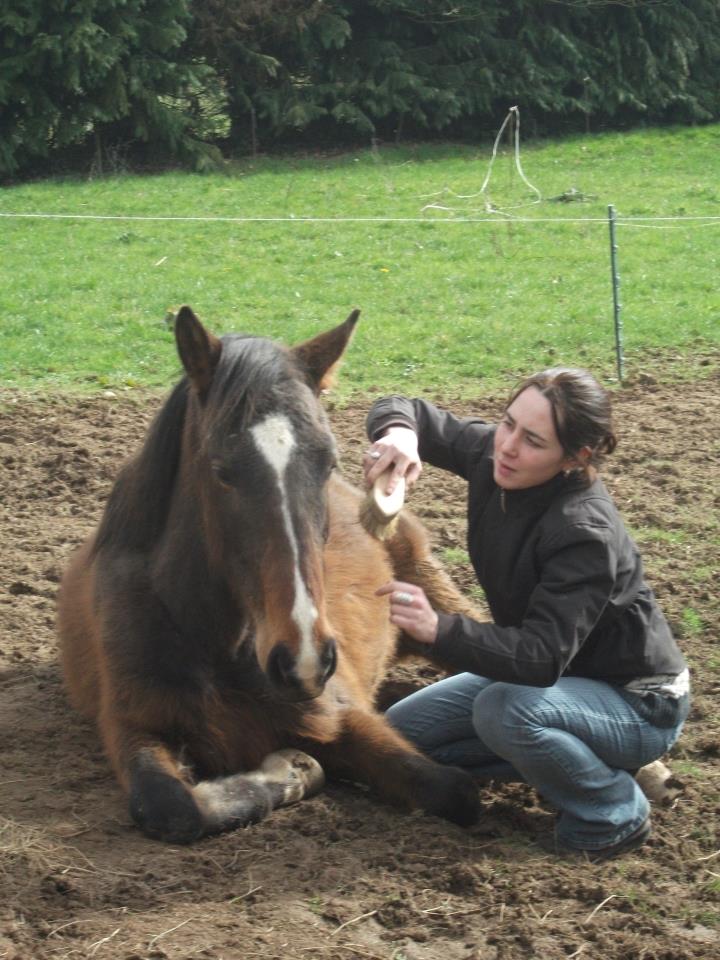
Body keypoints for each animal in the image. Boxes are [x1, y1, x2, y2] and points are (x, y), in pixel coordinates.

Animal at [57, 308, 484, 840]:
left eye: (328, 462)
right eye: (221, 470)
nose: (303, 659)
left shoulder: (337, 714)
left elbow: (453, 789)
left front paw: (293, 769)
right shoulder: (131, 725)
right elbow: (170, 806)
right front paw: (286, 772)